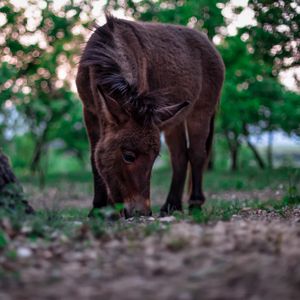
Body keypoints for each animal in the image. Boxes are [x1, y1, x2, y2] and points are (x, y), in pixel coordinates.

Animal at [76, 15, 224, 217]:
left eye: (154, 158)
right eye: (129, 156)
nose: (142, 213)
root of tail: (209, 43)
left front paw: (106, 210)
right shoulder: (90, 112)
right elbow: (94, 157)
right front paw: (99, 209)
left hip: (200, 112)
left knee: (197, 154)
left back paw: (194, 205)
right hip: (175, 119)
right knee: (180, 156)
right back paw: (171, 206)